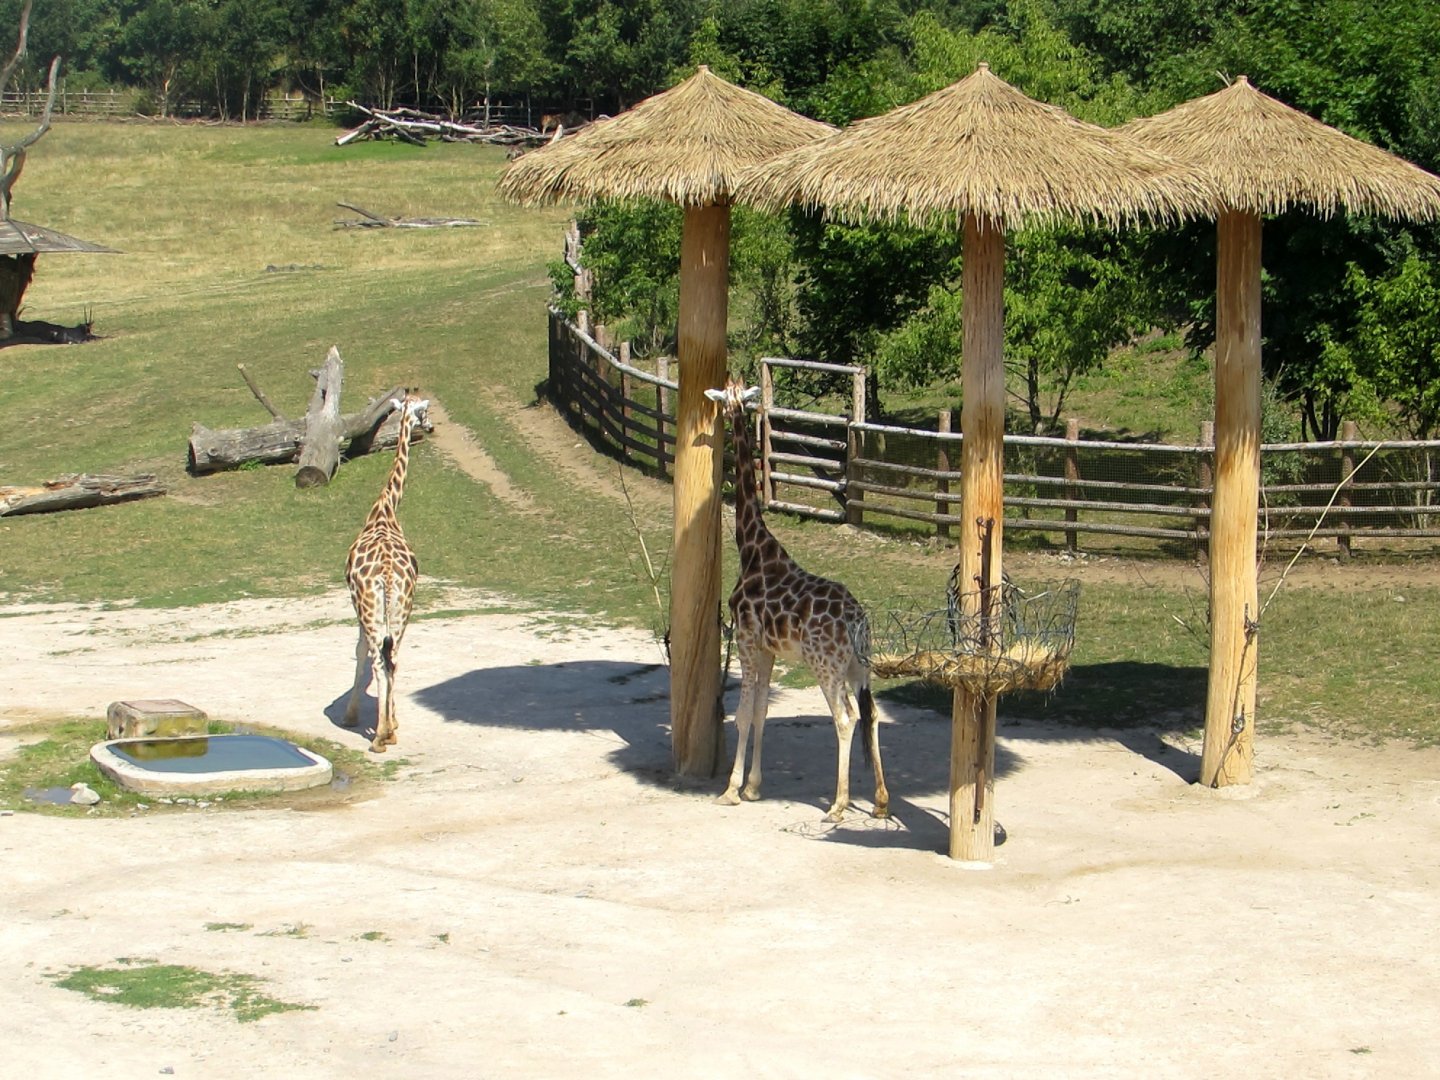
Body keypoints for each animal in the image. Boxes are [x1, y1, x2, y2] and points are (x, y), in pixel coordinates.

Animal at [705, 376, 889, 822]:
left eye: (727, 397)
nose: (722, 410)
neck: (751, 548)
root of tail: (858, 622)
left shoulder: (747, 641)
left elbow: (742, 715)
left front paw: (731, 789)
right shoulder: (769, 649)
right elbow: (761, 712)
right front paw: (754, 786)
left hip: (825, 666)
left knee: (846, 719)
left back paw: (839, 804)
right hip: (859, 667)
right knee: (871, 715)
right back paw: (879, 802)